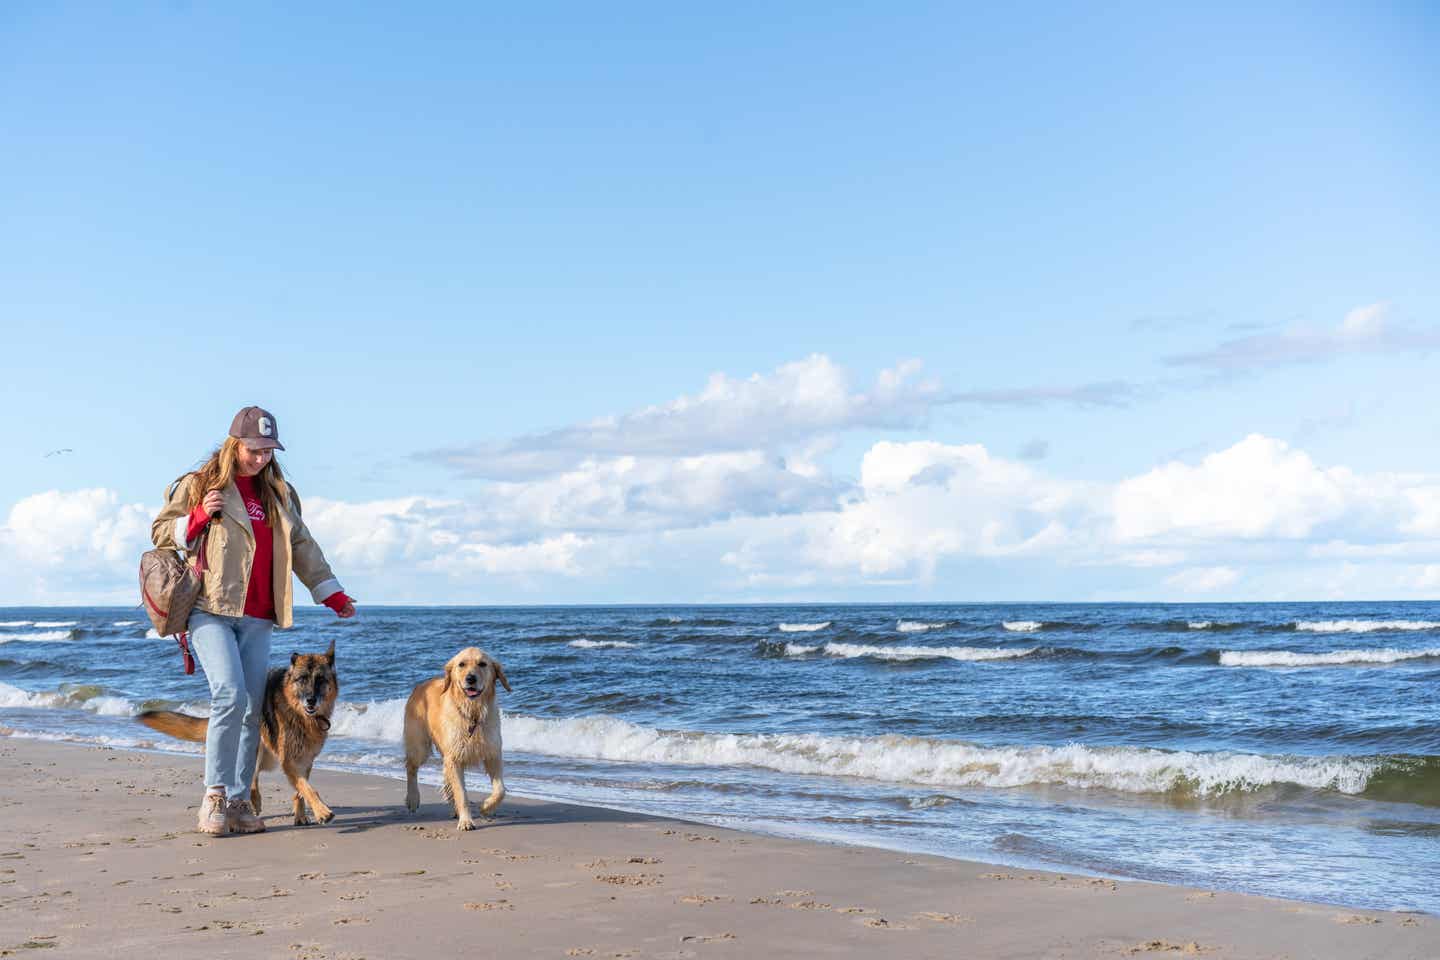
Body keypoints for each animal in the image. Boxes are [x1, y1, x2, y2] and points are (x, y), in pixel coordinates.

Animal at [139, 639, 342, 829]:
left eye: (321, 679)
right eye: (302, 679)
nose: (311, 700)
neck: (302, 716)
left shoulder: (305, 760)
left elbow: (301, 790)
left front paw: (301, 815)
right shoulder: (289, 760)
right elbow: (307, 788)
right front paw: (322, 812)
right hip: (258, 746)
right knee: (251, 774)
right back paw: (252, 801)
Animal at [406, 644, 512, 834]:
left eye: (482, 664)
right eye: (461, 664)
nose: (470, 678)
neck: (473, 713)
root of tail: (419, 686)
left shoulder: (493, 754)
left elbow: (500, 790)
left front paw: (486, 807)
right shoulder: (454, 759)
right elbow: (462, 793)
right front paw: (466, 821)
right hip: (419, 746)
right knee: (411, 767)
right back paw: (412, 798)